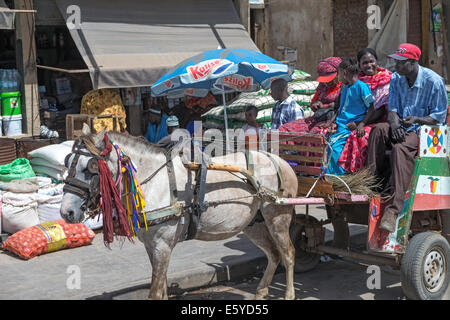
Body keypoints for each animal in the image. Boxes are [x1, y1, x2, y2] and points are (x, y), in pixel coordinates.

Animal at [59, 127, 298, 300]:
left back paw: (288, 294)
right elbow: (162, 287)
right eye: (67, 162)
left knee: (288, 254)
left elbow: (155, 292)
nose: (66, 212)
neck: (153, 182)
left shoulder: (162, 244)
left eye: (91, 166)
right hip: (253, 223)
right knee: (273, 254)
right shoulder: (151, 245)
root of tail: (279, 160)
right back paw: (261, 292)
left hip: (277, 217)